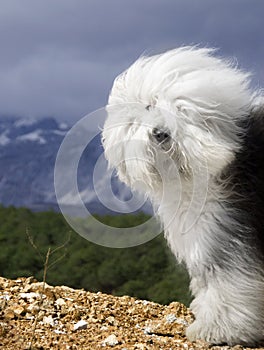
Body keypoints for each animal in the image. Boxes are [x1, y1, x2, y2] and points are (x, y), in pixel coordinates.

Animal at [102, 47, 264, 348]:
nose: (160, 133)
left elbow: (227, 282)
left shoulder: (226, 231)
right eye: (148, 107)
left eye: (180, 109)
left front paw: (217, 330)